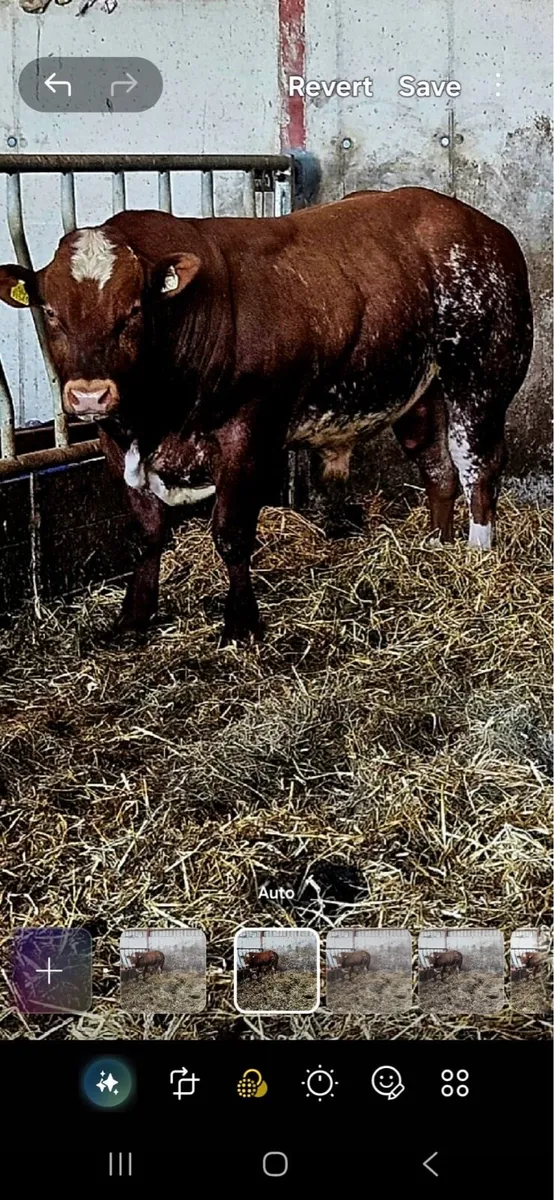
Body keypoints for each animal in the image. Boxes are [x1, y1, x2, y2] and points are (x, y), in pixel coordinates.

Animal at [0, 188, 533, 643]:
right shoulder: (117, 441)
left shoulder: (248, 434)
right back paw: (435, 549)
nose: (90, 395)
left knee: (476, 468)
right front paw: (133, 618)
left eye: (132, 310)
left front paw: (241, 624)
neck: (156, 418)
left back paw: (477, 557)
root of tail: (481, 225)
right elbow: (147, 534)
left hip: (482, 375)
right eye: (50, 312)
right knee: (436, 467)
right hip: (418, 386)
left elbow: (232, 533)